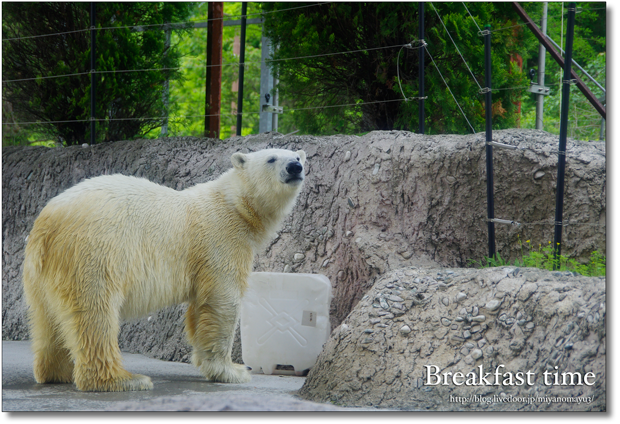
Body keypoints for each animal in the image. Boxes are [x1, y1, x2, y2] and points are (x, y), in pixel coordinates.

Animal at [22, 148, 308, 390]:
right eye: (271, 158)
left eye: (297, 155)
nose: (295, 167)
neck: (235, 205)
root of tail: (47, 224)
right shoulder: (220, 240)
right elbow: (222, 302)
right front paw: (233, 371)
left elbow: (199, 307)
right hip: (94, 253)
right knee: (95, 314)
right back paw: (124, 379)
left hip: (42, 271)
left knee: (47, 318)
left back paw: (56, 372)